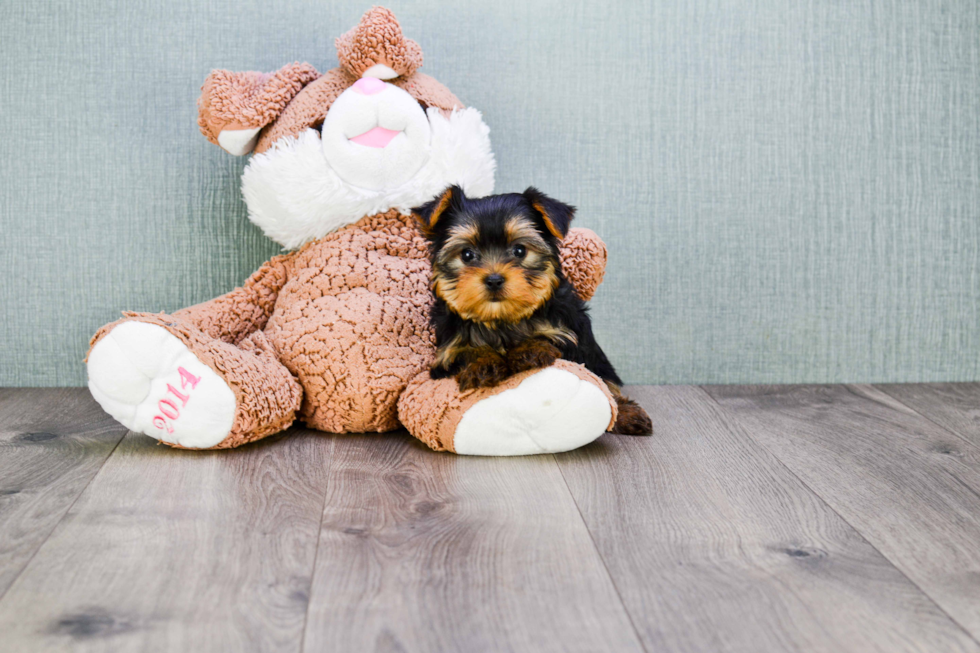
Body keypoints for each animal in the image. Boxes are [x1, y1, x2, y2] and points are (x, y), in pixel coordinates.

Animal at [412, 186, 652, 436]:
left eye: (519, 250)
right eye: (467, 254)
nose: (494, 279)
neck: (501, 319)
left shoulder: (571, 337)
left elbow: (550, 339)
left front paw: (529, 350)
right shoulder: (445, 355)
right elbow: (466, 351)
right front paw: (483, 363)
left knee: (607, 383)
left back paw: (627, 413)